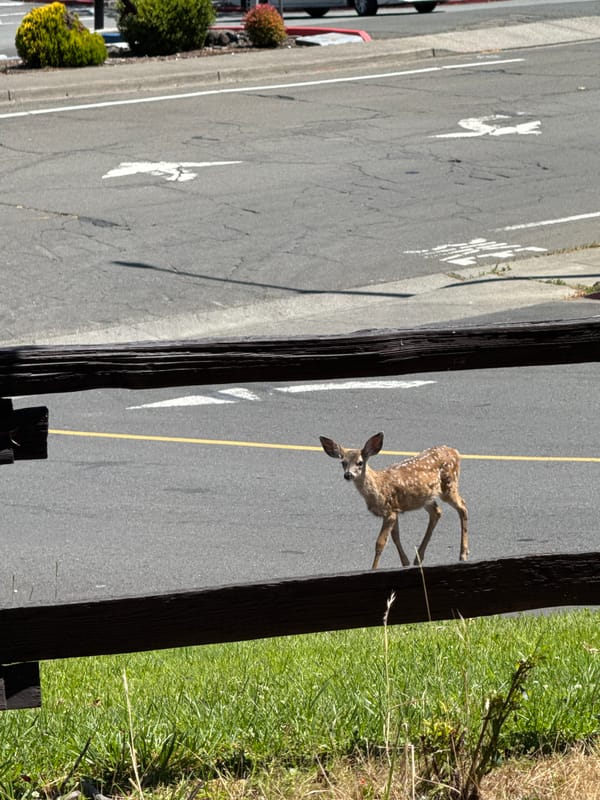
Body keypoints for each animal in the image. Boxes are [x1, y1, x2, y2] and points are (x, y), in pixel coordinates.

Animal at [319, 432, 468, 569]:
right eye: (343, 462)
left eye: (360, 462)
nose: (348, 475)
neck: (378, 487)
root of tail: (455, 451)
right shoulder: (394, 510)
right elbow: (396, 537)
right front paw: (405, 562)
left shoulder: (389, 511)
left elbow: (380, 543)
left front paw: (373, 568)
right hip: (426, 497)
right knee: (437, 512)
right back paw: (418, 558)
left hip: (449, 485)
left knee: (462, 506)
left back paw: (463, 554)